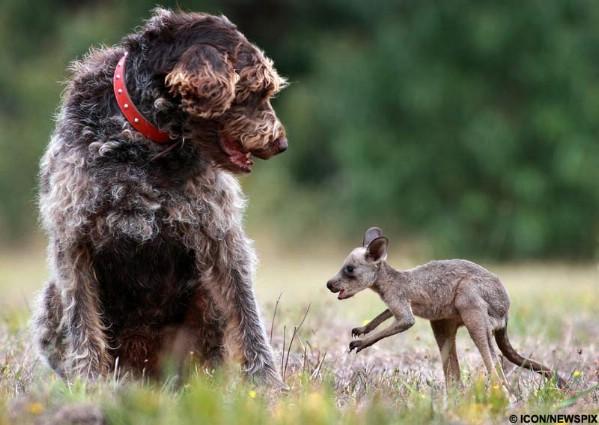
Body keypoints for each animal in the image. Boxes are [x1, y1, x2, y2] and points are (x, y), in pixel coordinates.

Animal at [34, 7, 290, 388]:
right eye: (256, 90)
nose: (281, 143)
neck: (143, 141)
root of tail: (147, 374)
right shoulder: (74, 239)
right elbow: (83, 321)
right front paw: (89, 385)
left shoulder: (220, 237)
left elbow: (246, 315)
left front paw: (267, 385)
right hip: (52, 299)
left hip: (204, 298)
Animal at [328, 227, 568, 390]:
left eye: (349, 269)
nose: (329, 284)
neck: (387, 281)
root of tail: (506, 314)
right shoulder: (399, 303)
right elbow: (384, 314)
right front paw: (362, 329)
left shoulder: (400, 302)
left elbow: (405, 321)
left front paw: (360, 343)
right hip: (444, 322)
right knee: (463, 363)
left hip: (470, 301)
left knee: (492, 359)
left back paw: (499, 392)